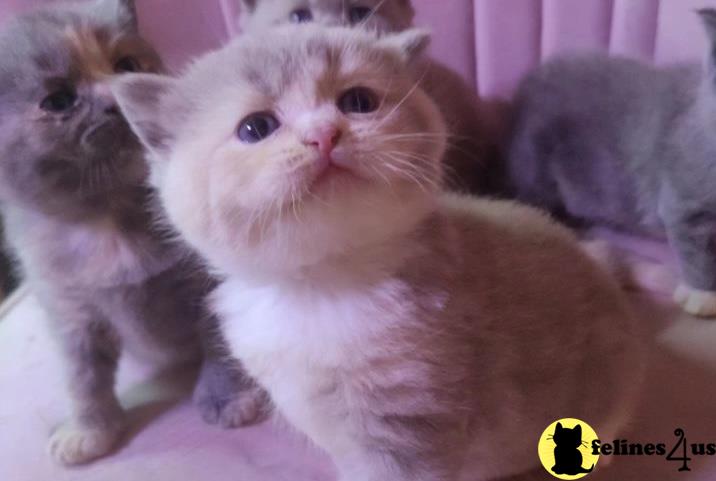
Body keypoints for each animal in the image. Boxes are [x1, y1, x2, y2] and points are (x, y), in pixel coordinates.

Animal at [0, 0, 268, 464]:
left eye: (125, 65)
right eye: (58, 100)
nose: (112, 101)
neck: (110, 221)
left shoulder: (207, 283)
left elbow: (218, 340)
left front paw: (227, 397)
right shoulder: (69, 306)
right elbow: (83, 376)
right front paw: (89, 430)